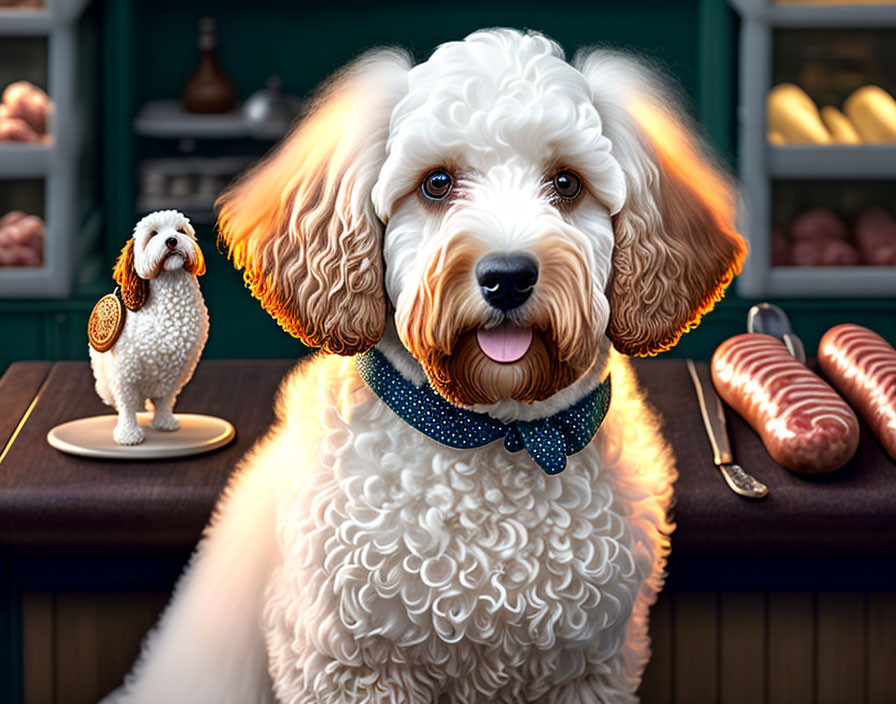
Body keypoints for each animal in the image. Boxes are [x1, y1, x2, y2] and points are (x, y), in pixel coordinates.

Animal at [105, 28, 744, 704]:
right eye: (436, 183)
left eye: (567, 184)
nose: (507, 276)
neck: (496, 434)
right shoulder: (348, 669)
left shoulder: (591, 669)